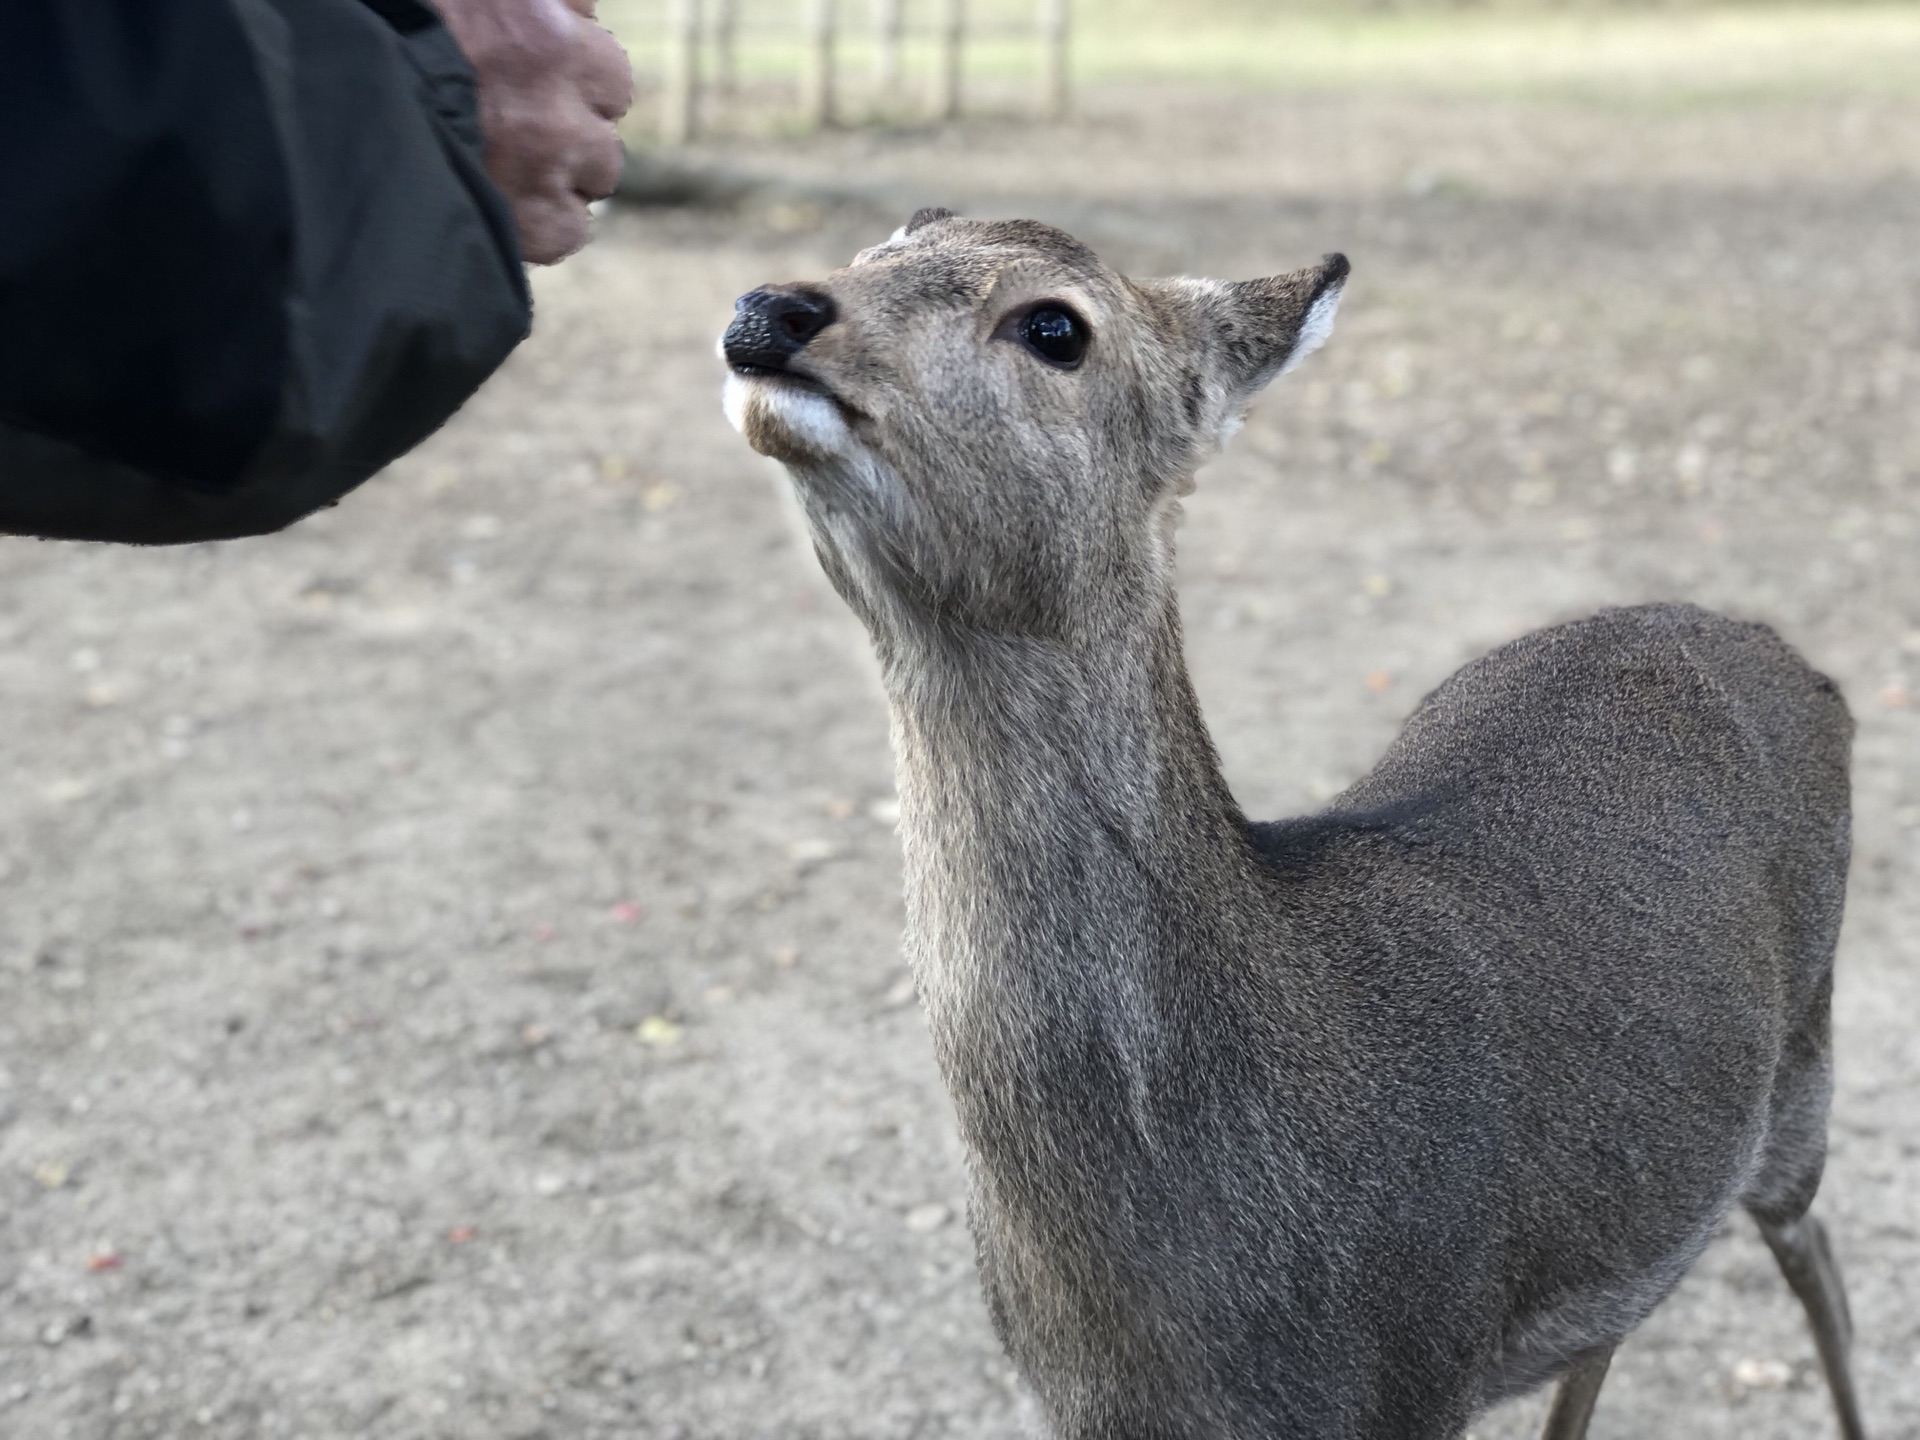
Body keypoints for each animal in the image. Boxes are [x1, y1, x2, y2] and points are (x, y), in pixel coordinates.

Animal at [718, 211, 1858, 1440]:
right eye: (881, 244)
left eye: (1056, 325)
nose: (768, 311)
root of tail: (1800, 663)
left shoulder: (1418, 1372)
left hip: (1806, 1058)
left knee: (1818, 1258)